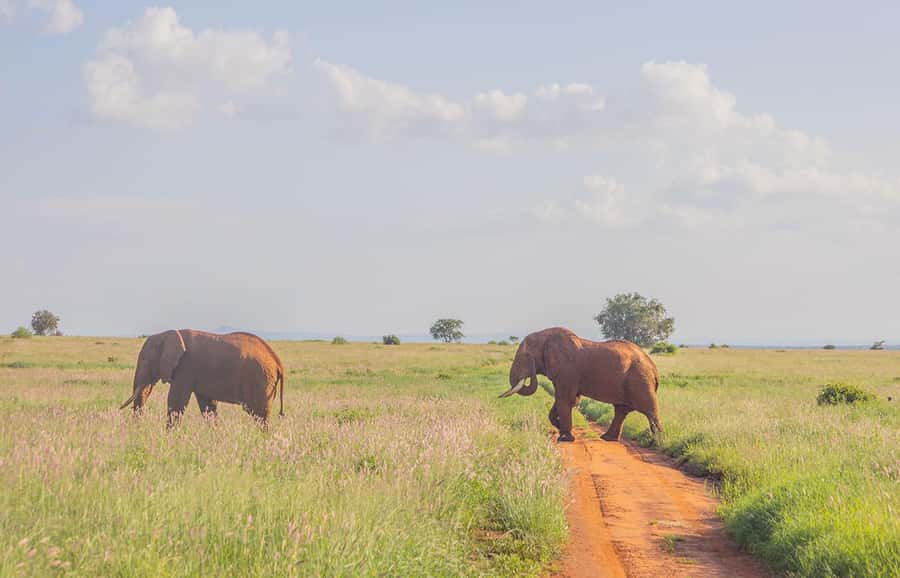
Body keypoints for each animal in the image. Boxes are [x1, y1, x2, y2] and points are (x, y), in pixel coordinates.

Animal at [118, 329, 285, 428]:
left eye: (145, 360)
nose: (136, 428)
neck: (167, 334)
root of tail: (278, 362)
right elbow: (208, 406)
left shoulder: (185, 368)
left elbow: (176, 402)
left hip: (260, 380)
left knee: (259, 414)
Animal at [499, 327, 661, 443]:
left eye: (525, 357)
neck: (544, 336)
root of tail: (654, 368)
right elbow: (567, 400)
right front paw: (560, 428)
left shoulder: (567, 369)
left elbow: (564, 399)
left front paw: (565, 438)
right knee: (621, 410)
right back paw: (608, 438)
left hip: (640, 381)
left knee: (649, 411)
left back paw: (657, 441)